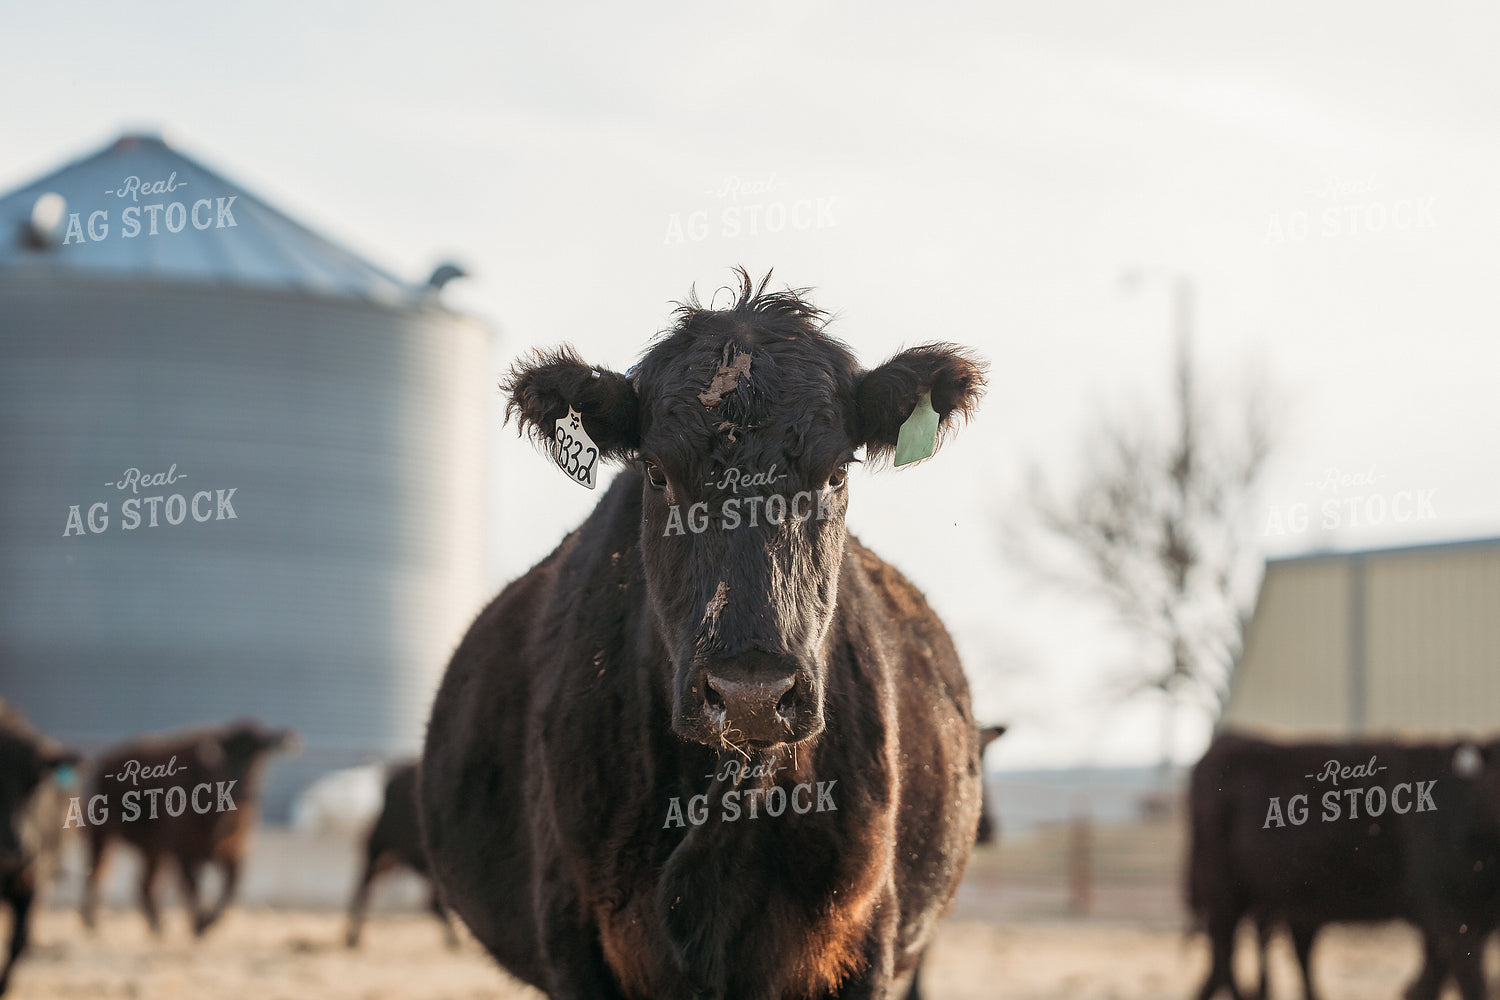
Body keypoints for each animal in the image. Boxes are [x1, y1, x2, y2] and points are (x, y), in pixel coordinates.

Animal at [79, 719, 295, 936]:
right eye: (227, 759)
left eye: (261, 754)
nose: (245, 789)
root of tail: (103, 763)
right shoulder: (184, 852)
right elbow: (193, 887)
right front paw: (199, 924)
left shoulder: (233, 850)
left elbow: (231, 887)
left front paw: (207, 922)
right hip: (102, 836)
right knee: (98, 873)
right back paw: (91, 922)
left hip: (153, 851)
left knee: (144, 884)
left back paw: (158, 926)